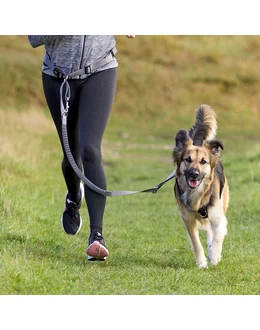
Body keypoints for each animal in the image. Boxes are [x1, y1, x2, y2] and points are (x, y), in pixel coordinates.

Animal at [173, 105, 230, 268]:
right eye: (188, 159)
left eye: (203, 161)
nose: (194, 174)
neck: (198, 193)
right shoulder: (188, 219)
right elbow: (196, 243)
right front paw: (201, 263)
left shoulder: (218, 215)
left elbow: (218, 235)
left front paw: (215, 254)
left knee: (212, 231)